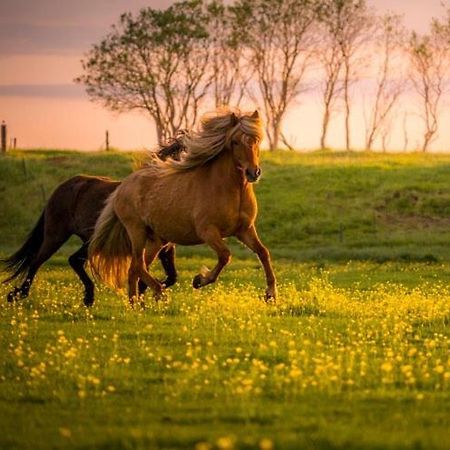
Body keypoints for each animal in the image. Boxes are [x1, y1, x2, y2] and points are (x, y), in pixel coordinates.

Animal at [1, 143, 185, 306]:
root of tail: (64, 187)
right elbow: (146, 271)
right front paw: (143, 296)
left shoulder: (165, 248)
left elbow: (171, 276)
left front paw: (147, 294)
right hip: (57, 236)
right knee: (38, 261)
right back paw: (18, 295)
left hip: (89, 241)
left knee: (73, 260)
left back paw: (88, 298)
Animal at [89, 110, 276, 302]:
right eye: (235, 142)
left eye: (256, 140)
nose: (253, 173)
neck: (229, 189)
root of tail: (122, 186)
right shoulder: (208, 231)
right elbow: (225, 255)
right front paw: (199, 280)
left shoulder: (244, 230)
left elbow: (263, 252)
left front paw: (270, 294)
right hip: (137, 231)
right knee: (138, 265)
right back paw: (159, 292)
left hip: (156, 240)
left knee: (134, 269)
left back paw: (137, 304)